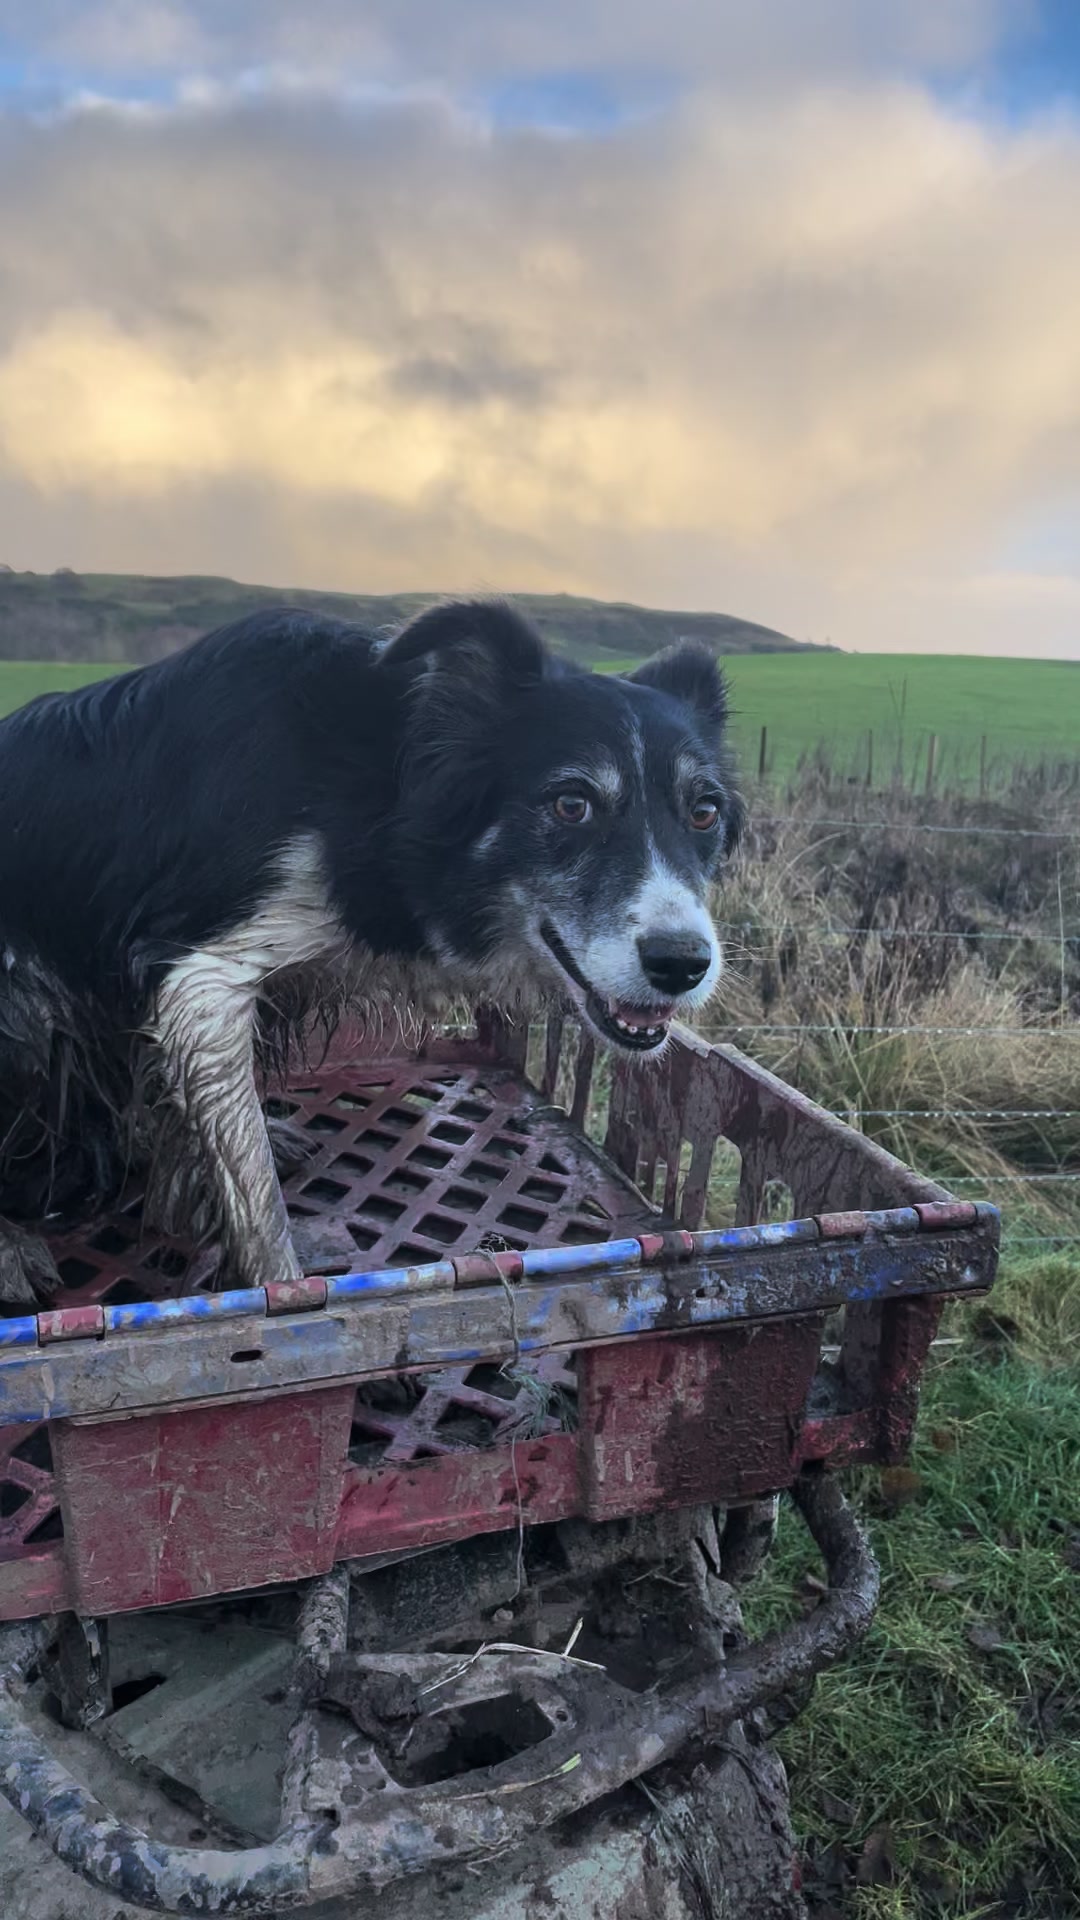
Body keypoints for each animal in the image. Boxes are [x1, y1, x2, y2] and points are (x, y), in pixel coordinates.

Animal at [0, 606, 737, 1313]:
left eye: (705, 814)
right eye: (571, 804)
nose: (683, 964)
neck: (381, 786)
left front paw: (186, 1193)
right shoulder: (202, 977)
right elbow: (257, 1201)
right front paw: (281, 1298)